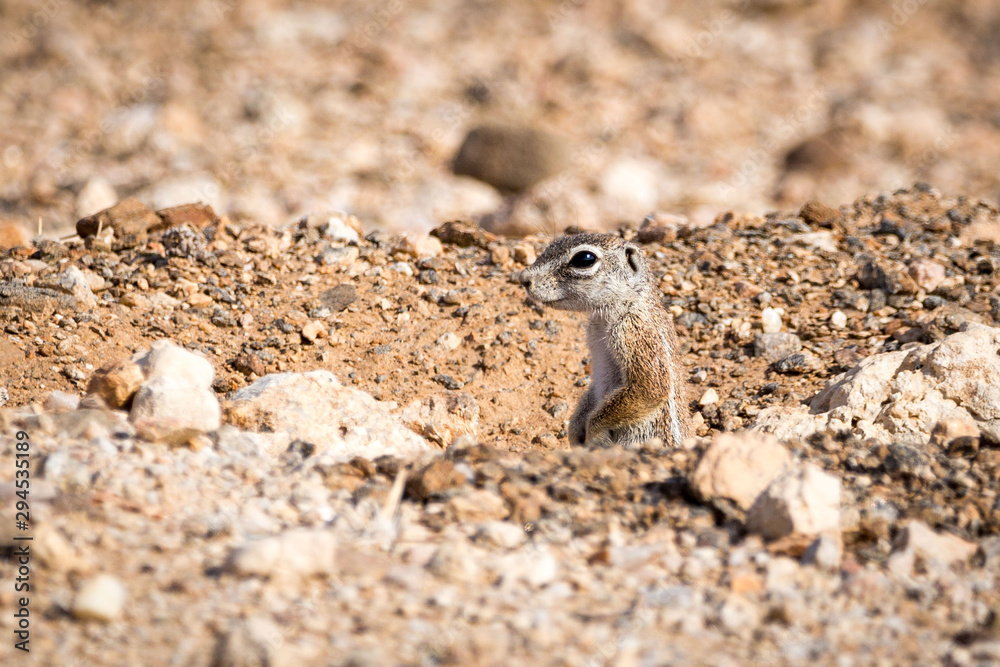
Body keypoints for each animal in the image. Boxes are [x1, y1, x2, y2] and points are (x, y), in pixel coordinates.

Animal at [516, 233, 690, 448]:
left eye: (585, 259)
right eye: (551, 245)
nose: (523, 278)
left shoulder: (634, 333)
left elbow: (650, 387)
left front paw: (594, 432)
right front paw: (574, 430)